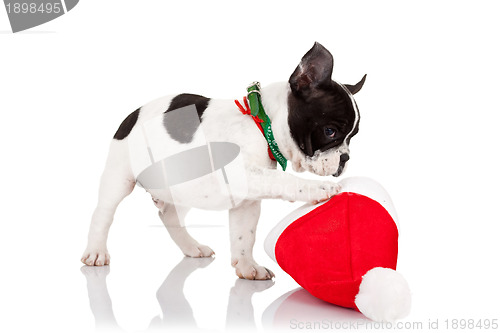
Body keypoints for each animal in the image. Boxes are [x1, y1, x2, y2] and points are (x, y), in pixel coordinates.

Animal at [81, 42, 364, 280]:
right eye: (330, 132)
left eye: (353, 137)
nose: (345, 158)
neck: (261, 124)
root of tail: (132, 114)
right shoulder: (243, 174)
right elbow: (282, 179)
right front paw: (319, 188)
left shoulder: (247, 201)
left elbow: (244, 234)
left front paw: (248, 267)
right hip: (119, 177)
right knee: (103, 213)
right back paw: (96, 251)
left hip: (182, 186)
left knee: (169, 214)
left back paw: (191, 246)